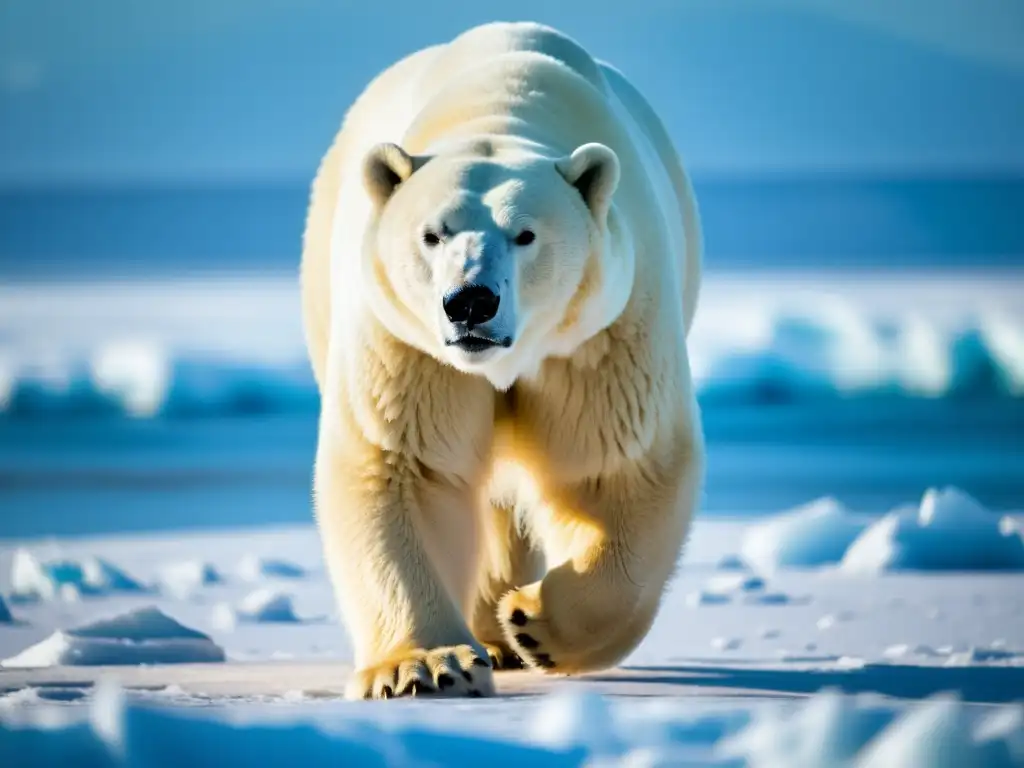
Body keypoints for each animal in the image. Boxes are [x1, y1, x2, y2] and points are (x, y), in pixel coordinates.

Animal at [299, 20, 708, 700]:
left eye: (526, 234)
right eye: (431, 234)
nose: (470, 301)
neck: (497, 106)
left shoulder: (597, 336)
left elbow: (615, 467)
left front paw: (533, 622)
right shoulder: (408, 345)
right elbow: (405, 464)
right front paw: (429, 665)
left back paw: (503, 627)